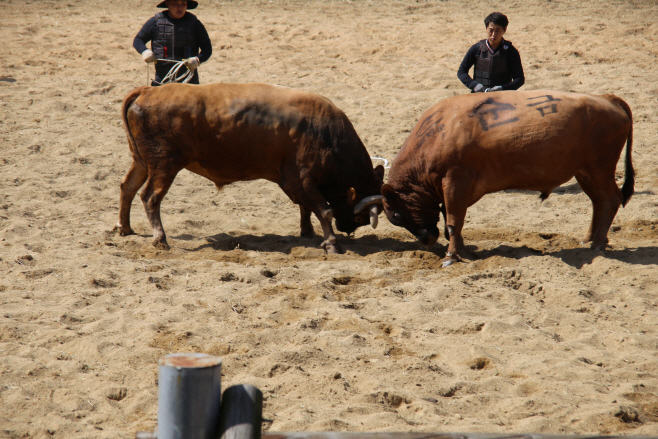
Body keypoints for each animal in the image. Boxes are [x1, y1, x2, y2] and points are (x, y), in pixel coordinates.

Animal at [116, 83, 384, 254]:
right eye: (359, 215)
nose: (348, 229)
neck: (326, 133)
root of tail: (148, 91)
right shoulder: (300, 179)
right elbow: (323, 210)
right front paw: (331, 243)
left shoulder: (299, 183)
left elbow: (306, 208)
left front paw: (307, 232)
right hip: (164, 166)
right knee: (150, 197)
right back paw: (160, 239)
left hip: (141, 162)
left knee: (127, 187)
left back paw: (125, 228)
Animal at [382, 91, 632, 266]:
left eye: (396, 215)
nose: (425, 241)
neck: (437, 133)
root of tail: (607, 99)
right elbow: (452, 221)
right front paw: (463, 251)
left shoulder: (455, 181)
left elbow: (453, 222)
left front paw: (451, 256)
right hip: (585, 172)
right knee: (598, 201)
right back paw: (589, 238)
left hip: (600, 168)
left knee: (611, 199)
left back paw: (598, 242)